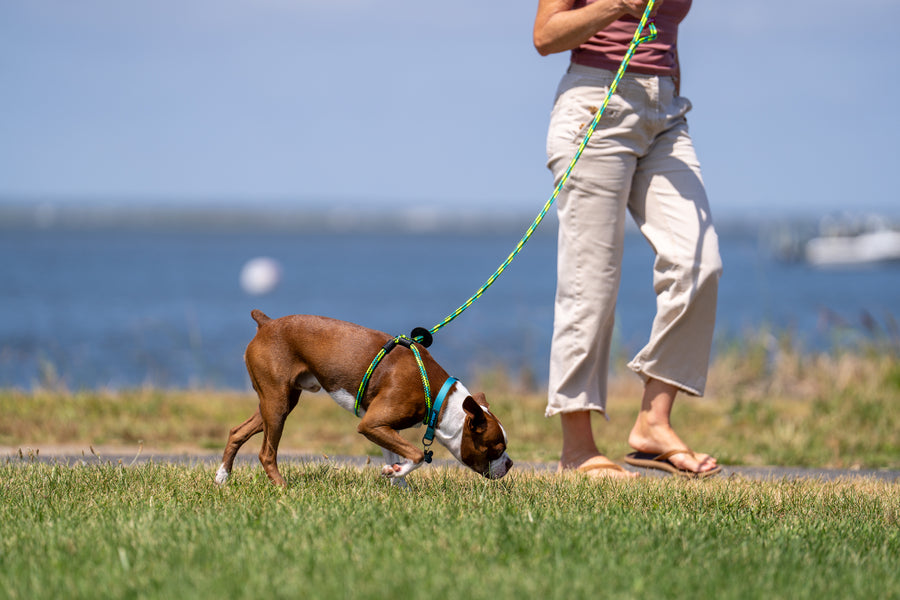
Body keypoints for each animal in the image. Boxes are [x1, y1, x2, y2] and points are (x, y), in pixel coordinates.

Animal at [213, 312, 512, 486]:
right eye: (496, 449)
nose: (509, 463)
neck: (441, 399)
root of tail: (266, 323)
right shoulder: (371, 424)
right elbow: (417, 454)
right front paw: (396, 473)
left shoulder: (383, 427)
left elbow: (395, 454)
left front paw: (397, 481)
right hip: (277, 403)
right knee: (266, 453)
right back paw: (282, 488)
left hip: (276, 401)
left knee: (237, 431)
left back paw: (222, 477)